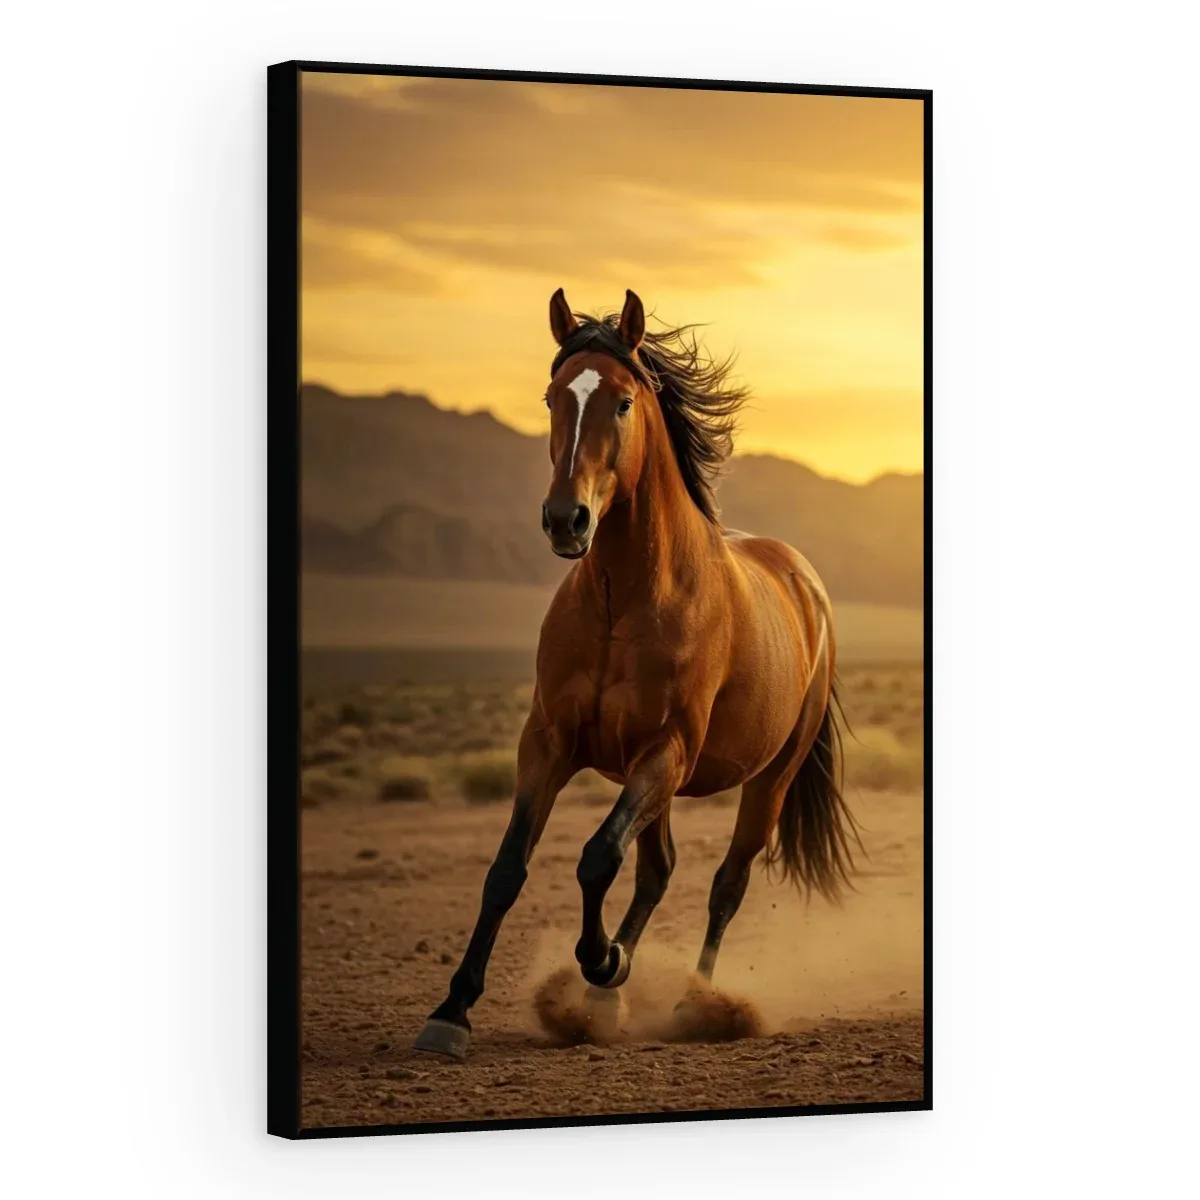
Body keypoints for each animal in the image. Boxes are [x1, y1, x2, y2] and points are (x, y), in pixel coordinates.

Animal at [414, 288, 859, 1060]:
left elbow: (597, 858)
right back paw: (606, 998)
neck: (624, 600)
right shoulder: (549, 743)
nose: (566, 520)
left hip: (765, 779)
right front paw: (452, 1011)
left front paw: (602, 960)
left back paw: (689, 1002)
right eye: (553, 396)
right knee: (658, 869)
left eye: (622, 401)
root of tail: (806, 583)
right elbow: (507, 869)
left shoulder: (664, 752)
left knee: (725, 884)